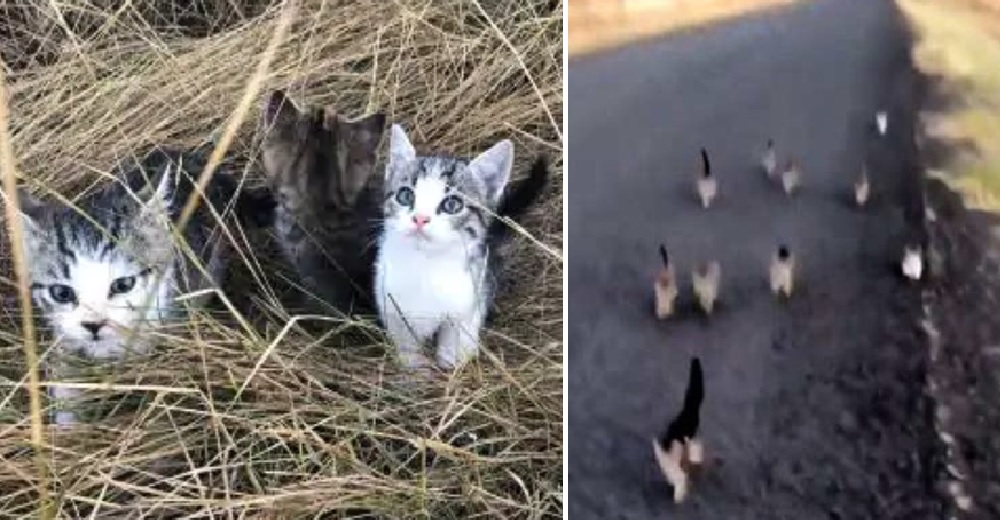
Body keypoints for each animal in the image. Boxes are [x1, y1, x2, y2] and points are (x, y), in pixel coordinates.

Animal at [376, 124, 548, 372]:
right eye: (405, 195)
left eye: (452, 204)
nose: (420, 219)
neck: (426, 264)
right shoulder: (391, 304)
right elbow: (406, 341)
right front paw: (414, 366)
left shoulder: (469, 300)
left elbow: (456, 337)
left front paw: (452, 362)